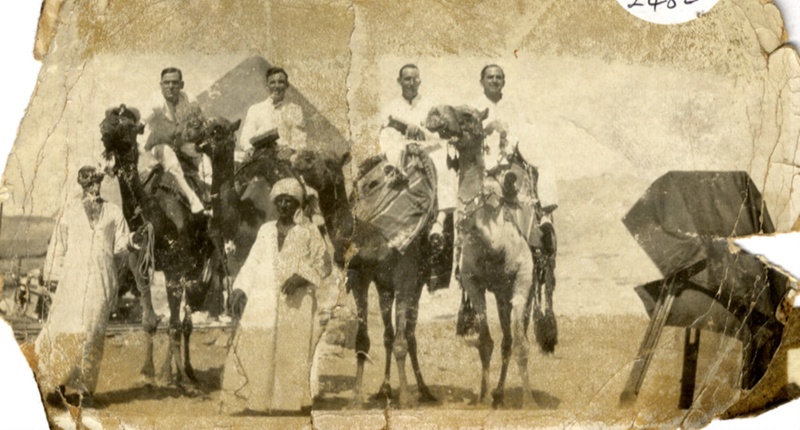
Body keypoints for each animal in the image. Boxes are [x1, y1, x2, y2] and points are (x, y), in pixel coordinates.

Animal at [424, 103, 536, 406]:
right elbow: (485, 342)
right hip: (500, 293)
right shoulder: (474, 283)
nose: (434, 113)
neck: (494, 243)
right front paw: (483, 397)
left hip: (521, 289)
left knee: (516, 337)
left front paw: (528, 402)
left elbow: (522, 343)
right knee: (506, 339)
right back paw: (497, 394)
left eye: (468, 115)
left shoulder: (522, 278)